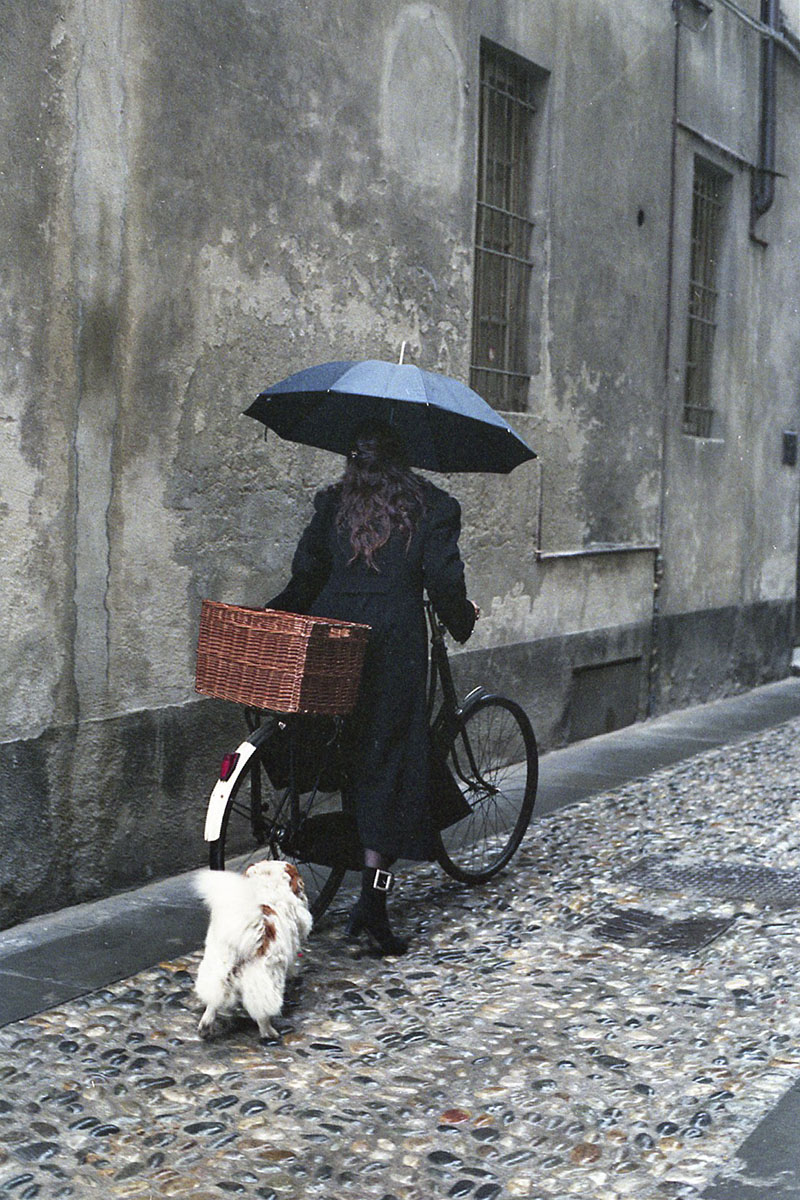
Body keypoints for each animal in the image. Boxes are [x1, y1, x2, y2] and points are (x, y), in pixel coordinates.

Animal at [194, 864, 311, 1041]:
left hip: (218, 967)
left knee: (213, 1000)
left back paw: (206, 1026)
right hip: (267, 974)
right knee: (262, 1009)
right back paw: (269, 1032)